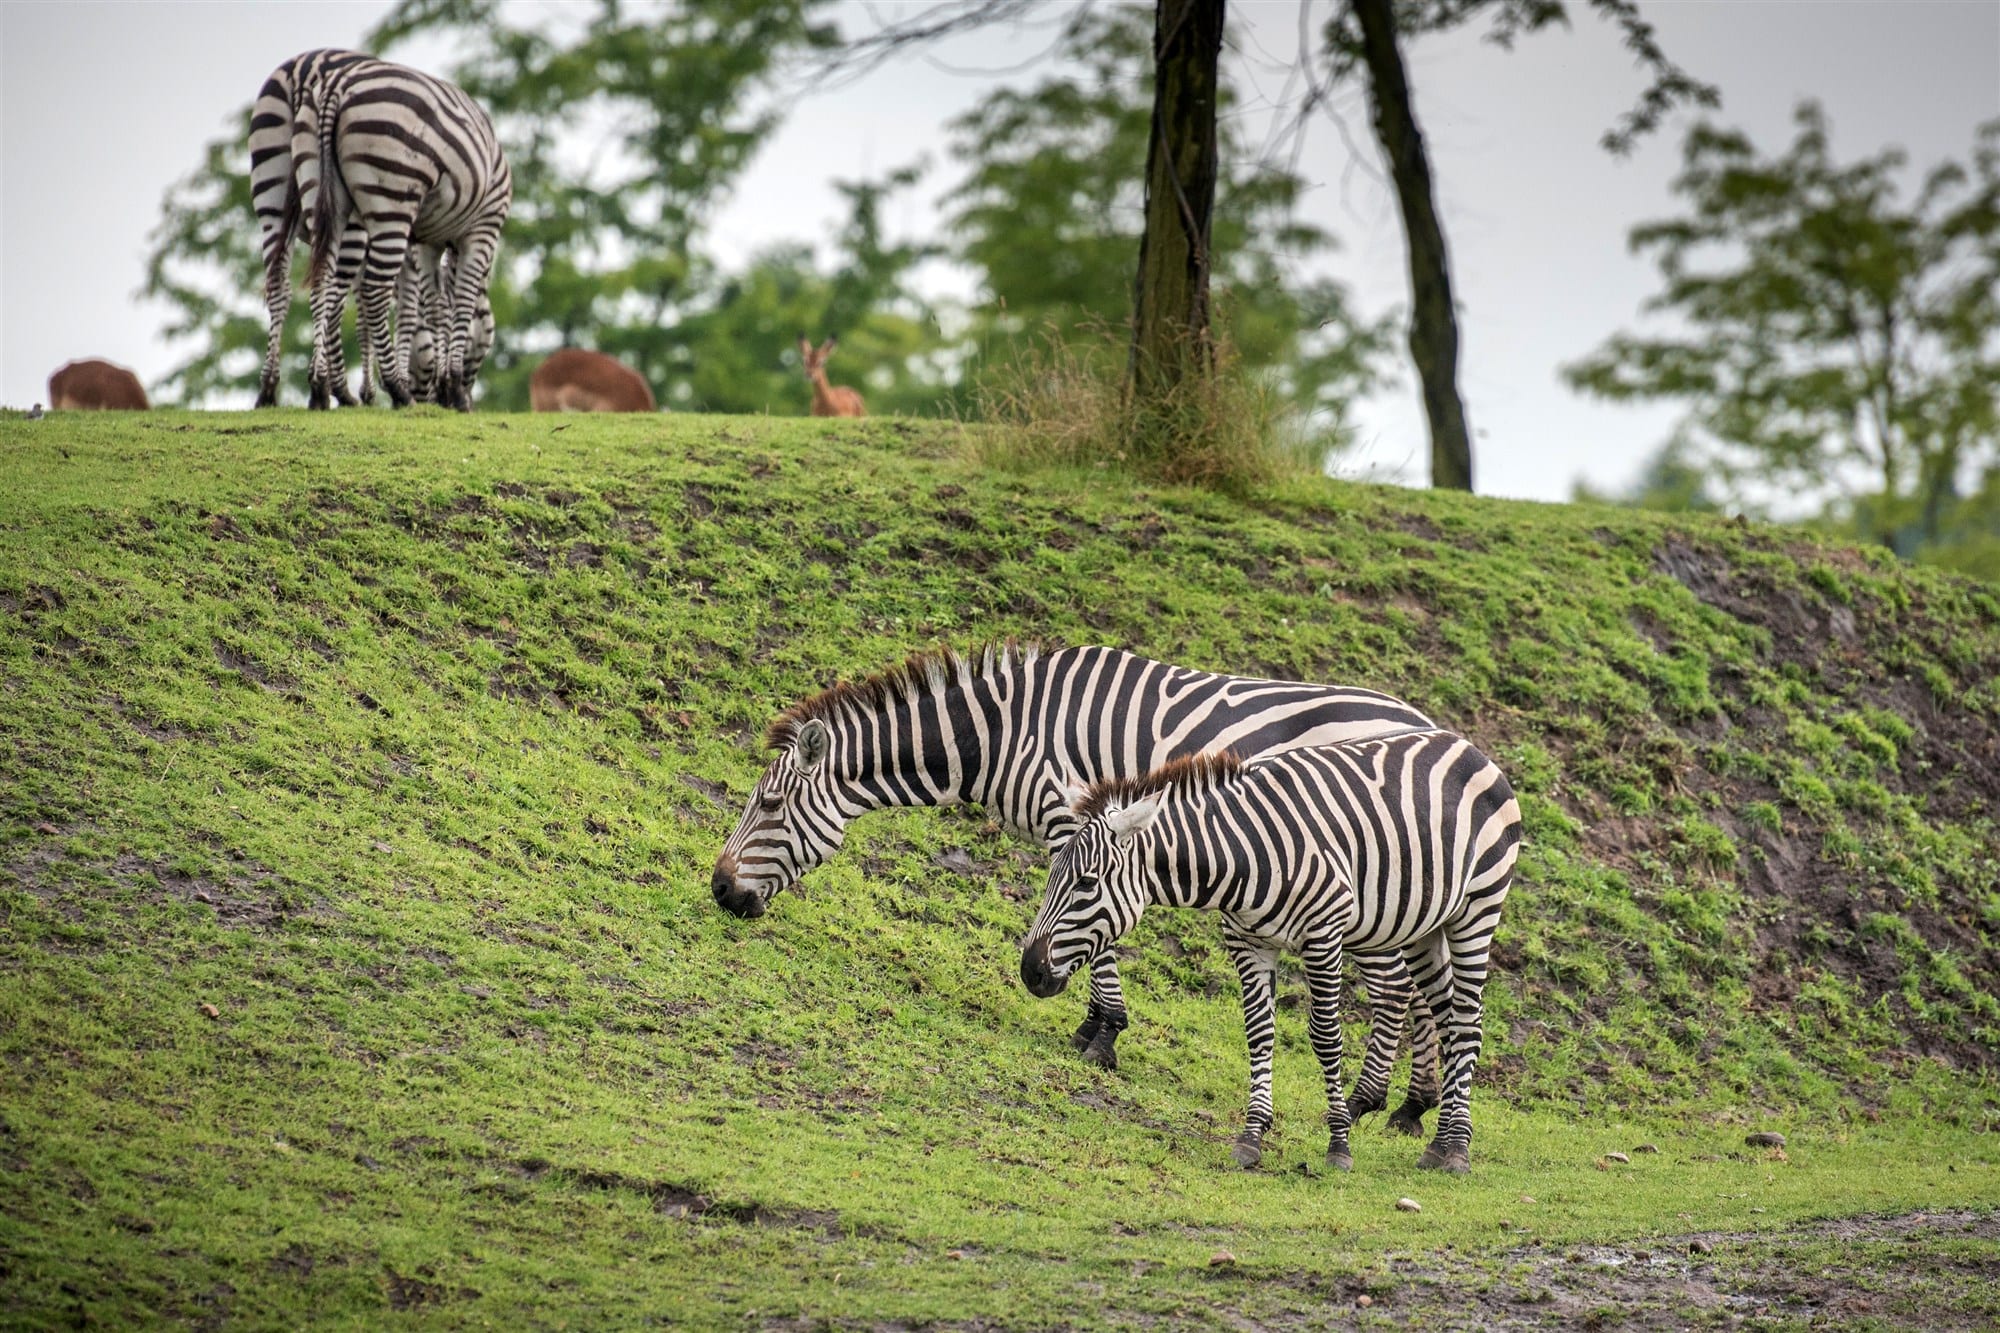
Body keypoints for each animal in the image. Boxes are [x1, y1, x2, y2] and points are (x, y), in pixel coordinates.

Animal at [251, 49, 510, 411]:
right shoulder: (480, 229)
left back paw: (285, 389)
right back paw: (382, 391)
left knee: (291, 284)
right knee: (365, 291)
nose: (464, 402)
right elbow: (441, 306)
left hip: (279, 190)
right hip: (385, 198)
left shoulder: (427, 244)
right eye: (485, 344)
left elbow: (430, 309)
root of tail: (312, 75)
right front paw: (448, 386)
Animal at [711, 642, 1445, 1130]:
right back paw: (1413, 1105)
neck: (1000, 732)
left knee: (1393, 986)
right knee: (1422, 985)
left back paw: (1371, 1099)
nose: (719, 891)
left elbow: (1097, 930)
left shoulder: (1078, 819)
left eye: (769, 804)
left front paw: (1102, 1031)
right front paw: (1096, 1021)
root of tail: (1429, 724)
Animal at [1019, 734, 1520, 1175]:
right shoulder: (1248, 942)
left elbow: (1325, 1038)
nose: (1031, 972)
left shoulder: (1323, 935)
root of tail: (1468, 746)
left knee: (1467, 1022)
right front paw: (1251, 1137)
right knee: (1447, 1019)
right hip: (1423, 925)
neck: (1242, 855)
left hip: (1478, 909)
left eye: (1086, 882)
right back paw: (1436, 1141)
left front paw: (1339, 1145)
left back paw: (1456, 1149)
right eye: (1051, 875)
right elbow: (1259, 1032)